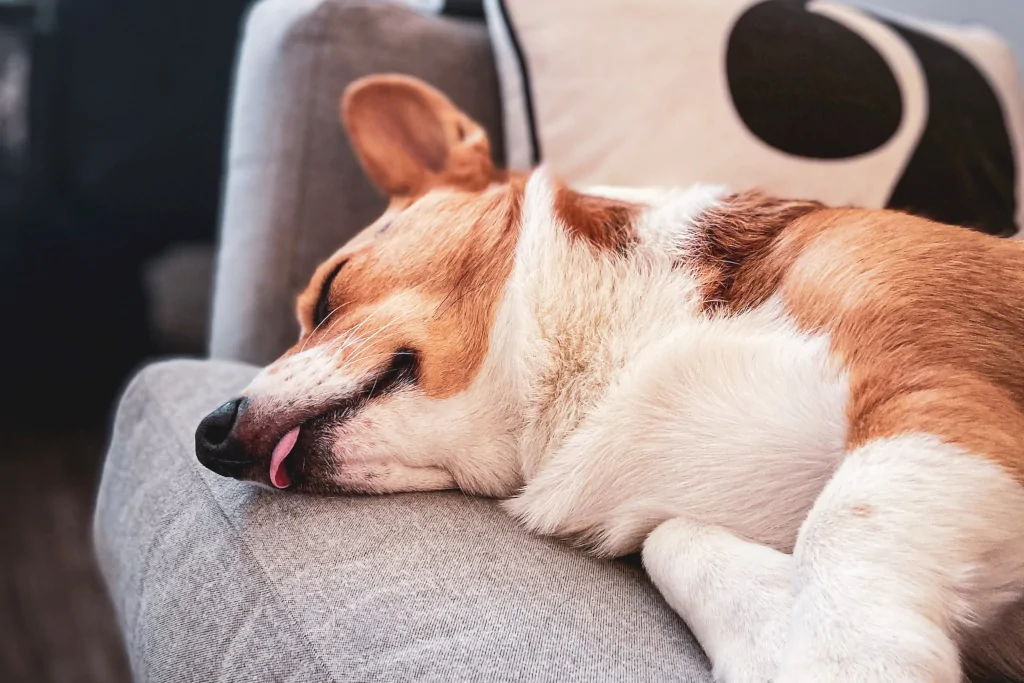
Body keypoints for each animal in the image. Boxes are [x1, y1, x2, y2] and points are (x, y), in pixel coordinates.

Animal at [195, 74, 1024, 683]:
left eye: (329, 291)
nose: (209, 434)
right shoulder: (667, 517)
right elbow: (676, 542)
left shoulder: (933, 384)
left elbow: (844, 527)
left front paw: (841, 658)